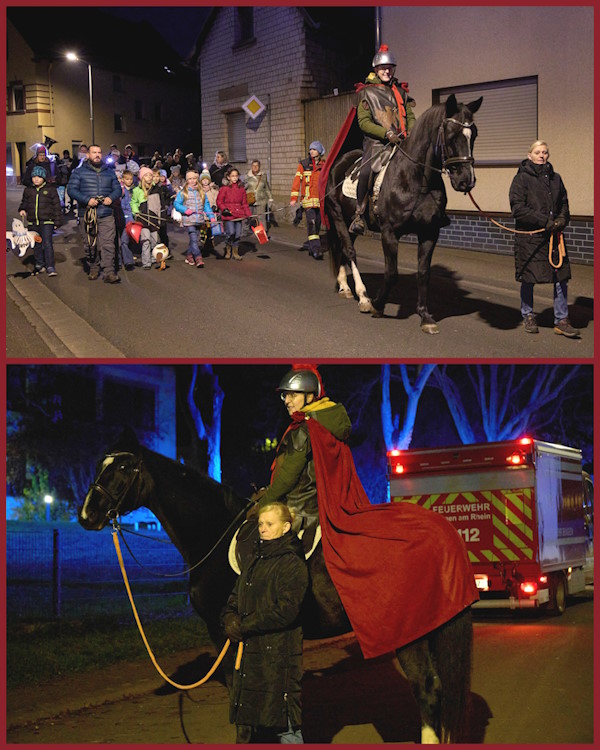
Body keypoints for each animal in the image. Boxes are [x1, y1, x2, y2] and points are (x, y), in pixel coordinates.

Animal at [78, 428, 474, 748]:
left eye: (123, 468)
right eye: (100, 465)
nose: (86, 515)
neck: (214, 534)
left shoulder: (226, 635)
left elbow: (240, 703)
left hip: (410, 635)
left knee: (427, 690)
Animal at [324, 92, 482, 334]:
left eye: (473, 134)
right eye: (452, 134)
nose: (466, 180)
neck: (416, 179)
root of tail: (339, 162)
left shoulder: (429, 233)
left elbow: (424, 273)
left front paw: (425, 316)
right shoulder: (389, 233)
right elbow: (392, 273)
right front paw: (377, 305)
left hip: (350, 223)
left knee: (343, 248)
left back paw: (345, 287)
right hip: (338, 216)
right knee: (349, 251)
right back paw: (363, 297)